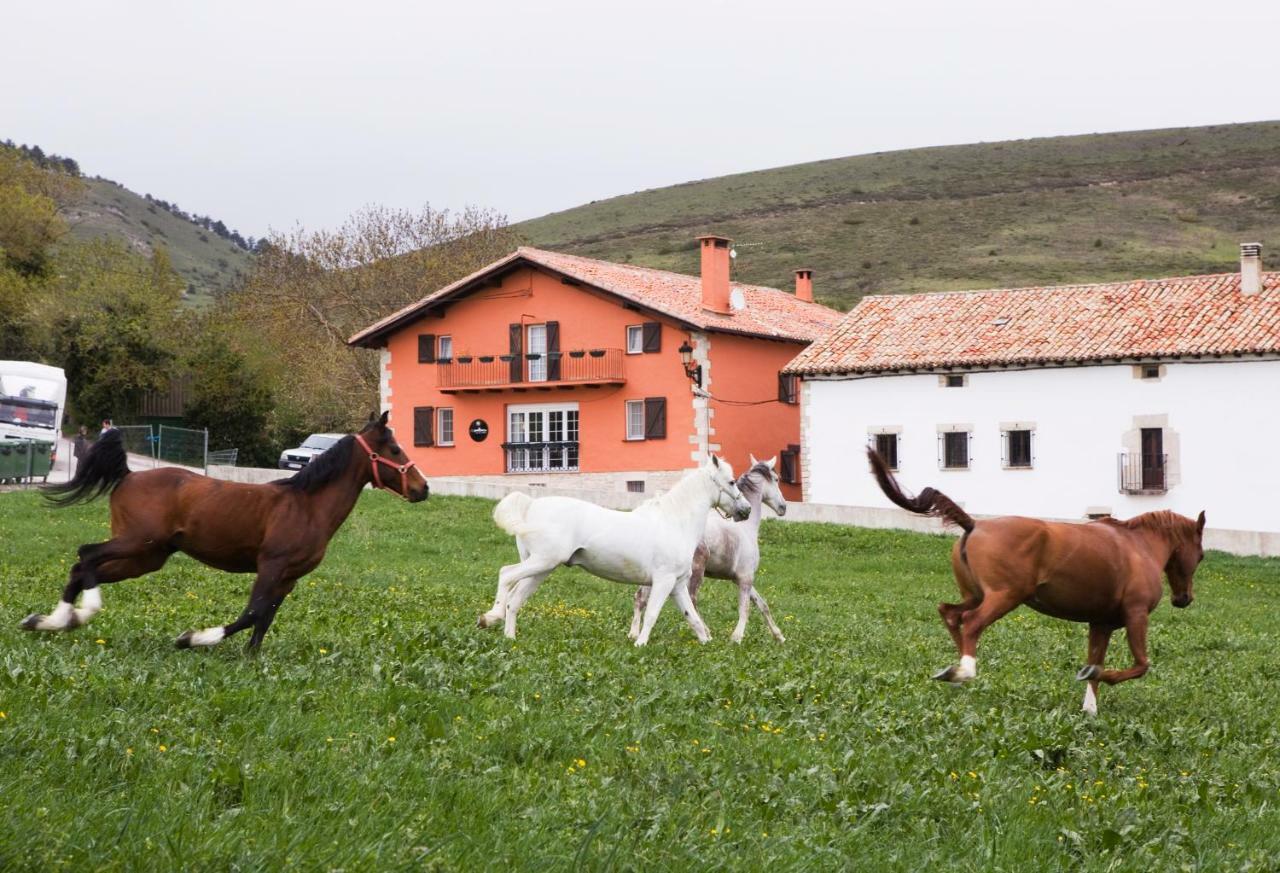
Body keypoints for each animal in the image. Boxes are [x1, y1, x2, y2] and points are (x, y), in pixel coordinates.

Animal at [21, 412, 430, 650]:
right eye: (394, 449)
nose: (422, 488)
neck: (307, 505)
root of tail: (128, 475)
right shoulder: (271, 566)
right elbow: (251, 614)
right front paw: (192, 638)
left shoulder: (289, 578)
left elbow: (264, 620)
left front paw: (250, 660)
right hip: (137, 543)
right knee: (86, 555)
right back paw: (75, 615)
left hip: (145, 557)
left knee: (82, 567)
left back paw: (50, 621)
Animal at [481, 453, 747, 642]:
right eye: (732, 481)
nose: (746, 510)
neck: (674, 522)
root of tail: (531, 505)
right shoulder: (664, 581)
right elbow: (652, 614)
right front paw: (640, 643)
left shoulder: (678, 585)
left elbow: (692, 617)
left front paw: (706, 642)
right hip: (542, 561)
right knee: (506, 575)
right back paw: (490, 617)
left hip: (541, 568)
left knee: (515, 599)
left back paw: (510, 637)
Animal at [629, 455, 788, 640]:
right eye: (776, 479)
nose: (783, 507)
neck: (745, 529)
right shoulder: (746, 578)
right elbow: (745, 609)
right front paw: (737, 637)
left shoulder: (739, 578)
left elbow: (762, 604)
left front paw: (779, 636)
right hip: (695, 572)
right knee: (691, 600)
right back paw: (706, 633)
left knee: (640, 598)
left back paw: (633, 633)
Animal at [865, 445, 1203, 711]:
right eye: (1200, 555)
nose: (1184, 599)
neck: (1138, 545)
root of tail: (974, 524)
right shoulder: (1135, 614)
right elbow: (1139, 666)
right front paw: (1096, 678)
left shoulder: (1101, 623)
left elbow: (1096, 661)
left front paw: (1089, 708)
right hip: (1005, 596)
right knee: (972, 622)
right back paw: (965, 670)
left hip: (976, 594)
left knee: (949, 613)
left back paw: (956, 670)